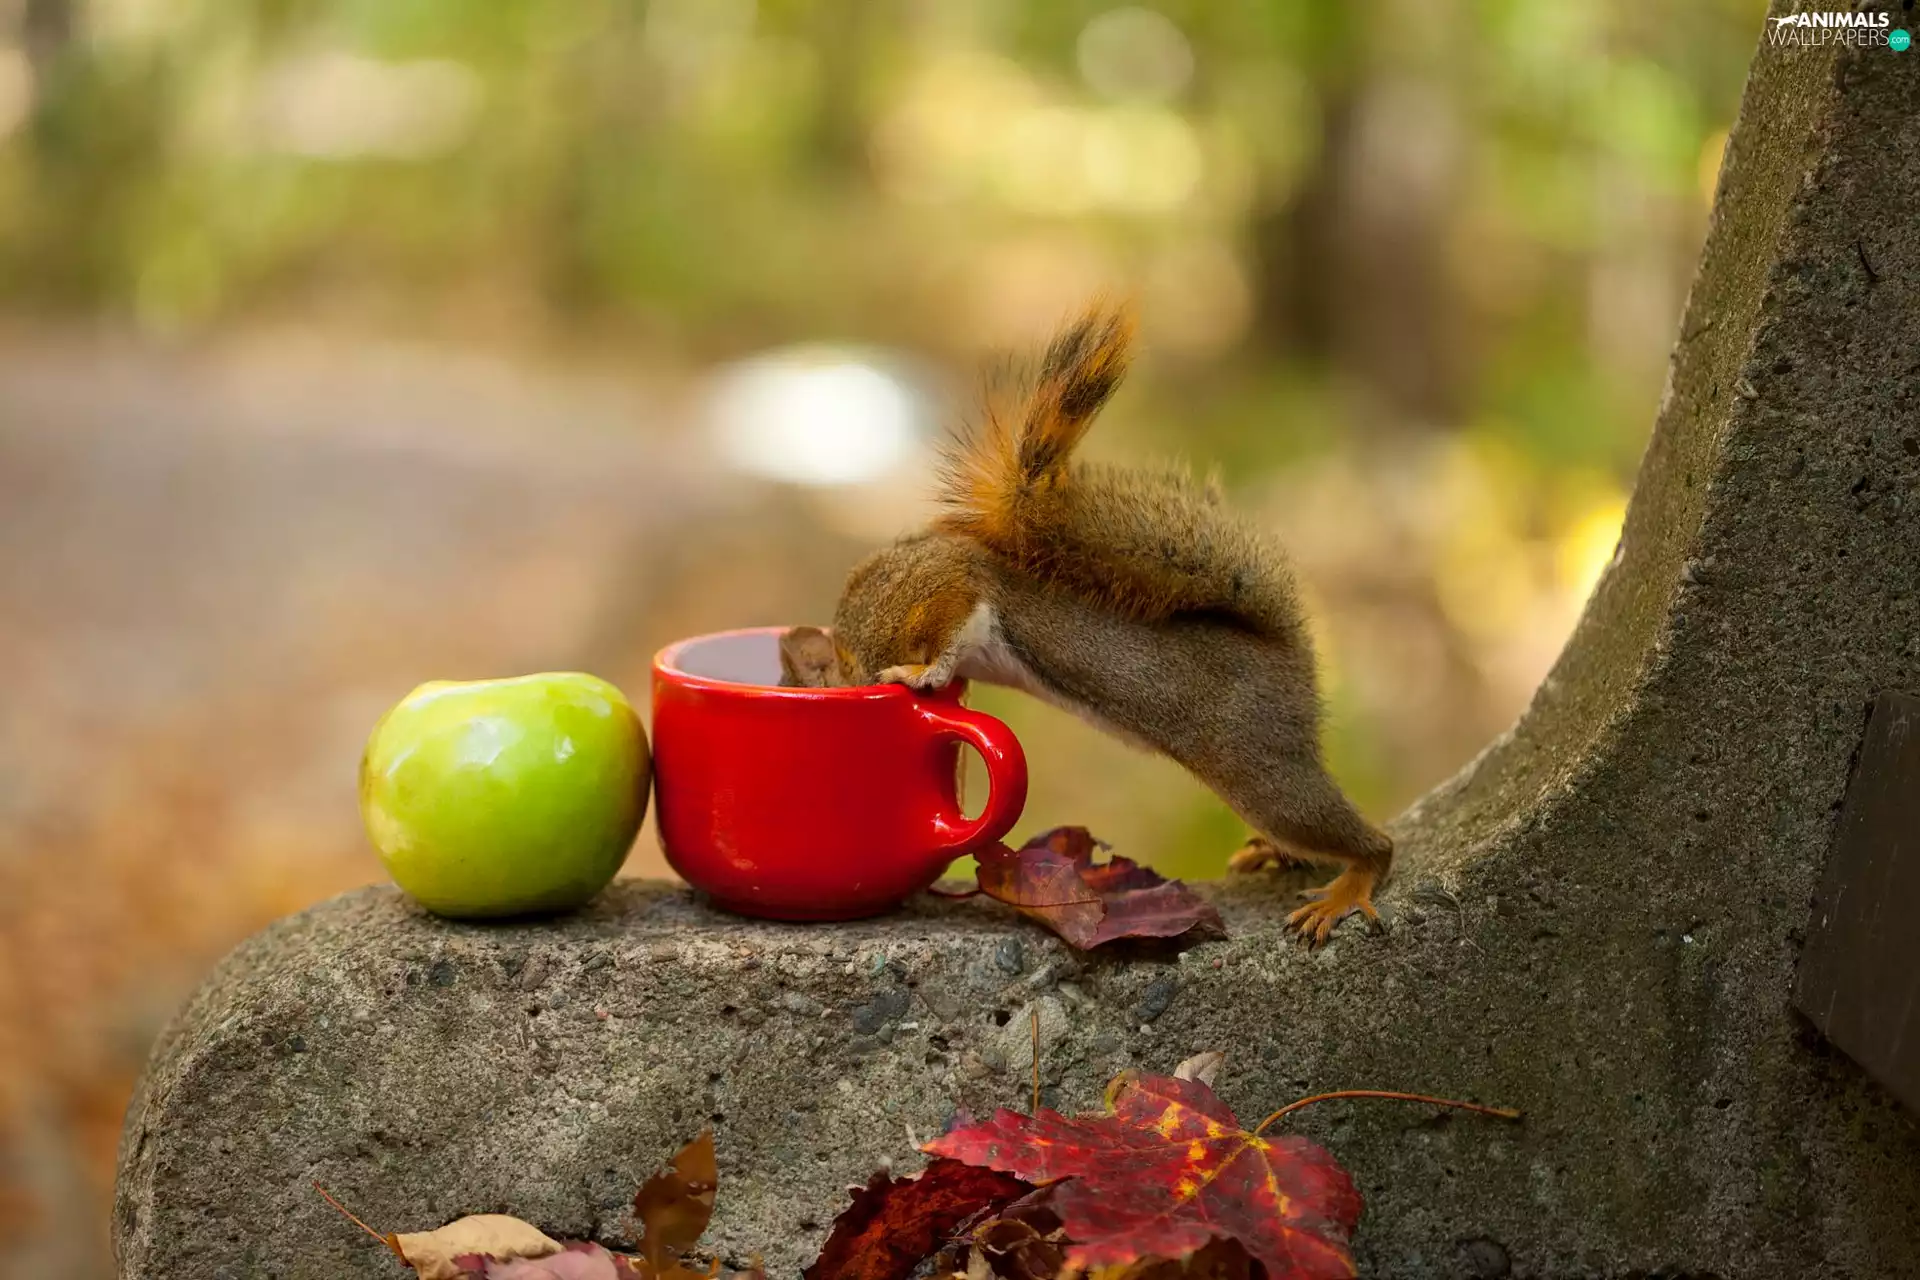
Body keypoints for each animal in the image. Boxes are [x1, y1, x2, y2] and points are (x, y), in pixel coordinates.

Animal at [800, 303, 1393, 944]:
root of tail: (1291, 657)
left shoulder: (945, 587)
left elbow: (952, 626)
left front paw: (920, 673)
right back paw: (1273, 854)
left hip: (1258, 764)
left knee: (1363, 840)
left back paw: (1348, 885)